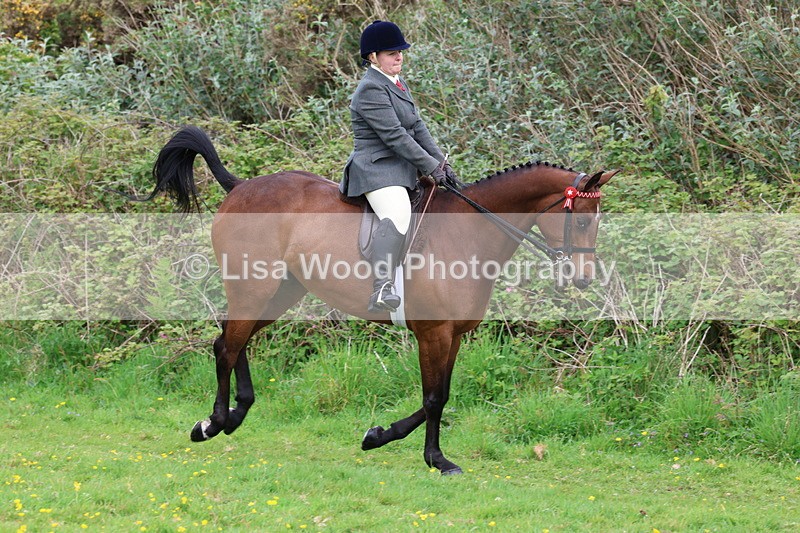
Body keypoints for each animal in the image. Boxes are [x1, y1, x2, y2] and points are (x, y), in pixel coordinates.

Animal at [149, 126, 618, 474]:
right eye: (581, 222)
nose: (582, 279)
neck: (470, 232)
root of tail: (243, 185)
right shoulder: (434, 333)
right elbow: (434, 398)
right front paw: (437, 459)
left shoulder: (453, 335)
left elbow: (441, 393)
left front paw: (377, 436)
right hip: (253, 286)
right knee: (227, 346)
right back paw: (212, 423)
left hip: (280, 291)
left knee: (234, 340)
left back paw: (235, 415)